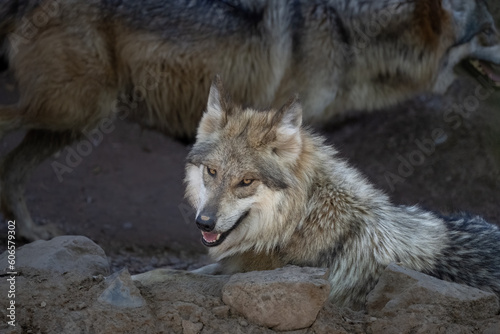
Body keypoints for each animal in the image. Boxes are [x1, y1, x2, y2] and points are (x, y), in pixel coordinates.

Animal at [0, 0, 500, 240]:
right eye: (491, 31)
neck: (344, 33)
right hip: (75, 111)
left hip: (73, 122)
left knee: (13, 170)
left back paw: (29, 234)